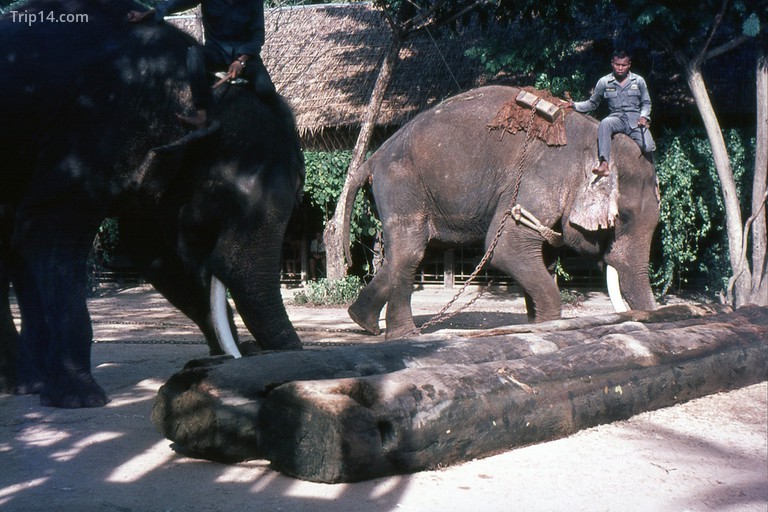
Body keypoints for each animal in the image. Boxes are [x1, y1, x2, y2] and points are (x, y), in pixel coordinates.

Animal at [0, 0, 306, 408]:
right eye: (225, 198)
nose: (261, 358)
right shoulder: (93, 122)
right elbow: (49, 231)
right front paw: (82, 398)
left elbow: (156, 254)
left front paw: (221, 364)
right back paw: (30, 384)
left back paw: (26, 383)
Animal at [344, 85, 660, 340]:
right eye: (622, 218)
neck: (593, 137)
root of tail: (373, 157)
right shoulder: (538, 180)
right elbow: (508, 249)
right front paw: (546, 327)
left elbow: (541, 257)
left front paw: (534, 325)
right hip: (401, 186)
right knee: (410, 253)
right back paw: (404, 335)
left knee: (414, 251)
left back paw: (362, 321)